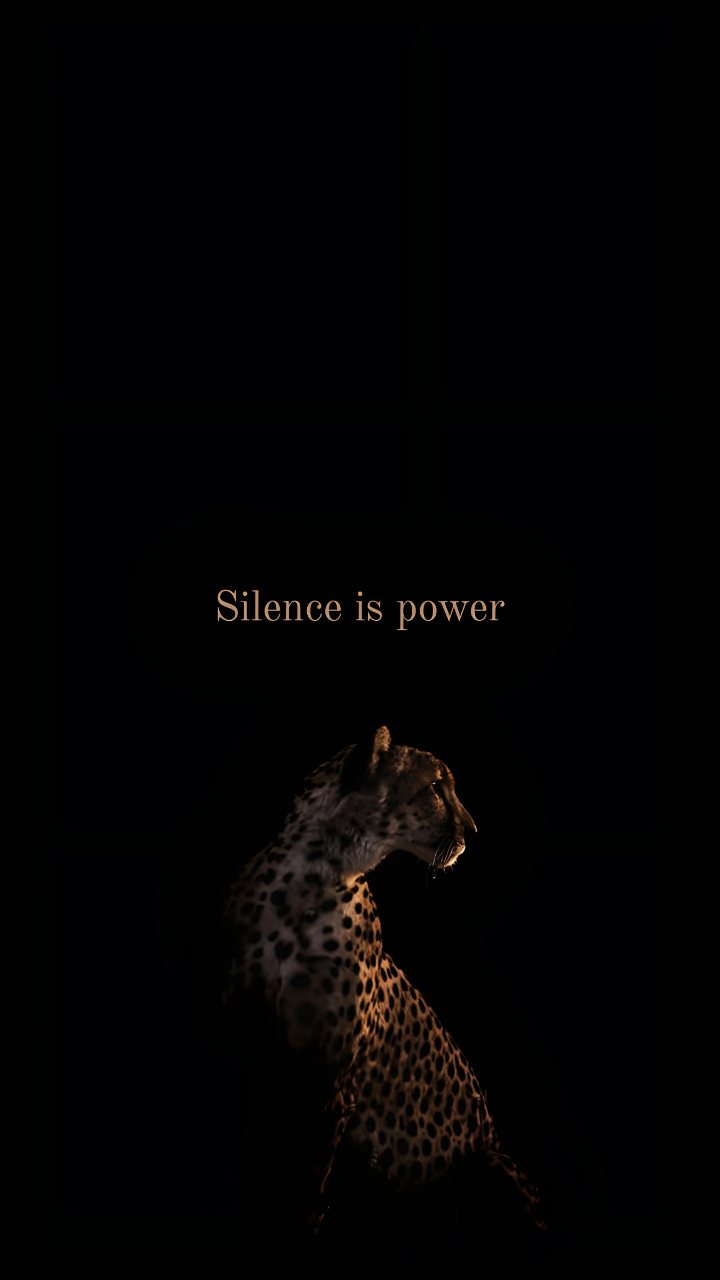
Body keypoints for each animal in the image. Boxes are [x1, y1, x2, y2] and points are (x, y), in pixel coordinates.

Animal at [223, 726, 541, 1227]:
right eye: (436, 787)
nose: (473, 831)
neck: (312, 876)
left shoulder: (332, 1080)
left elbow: (307, 1184)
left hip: (489, 1163)